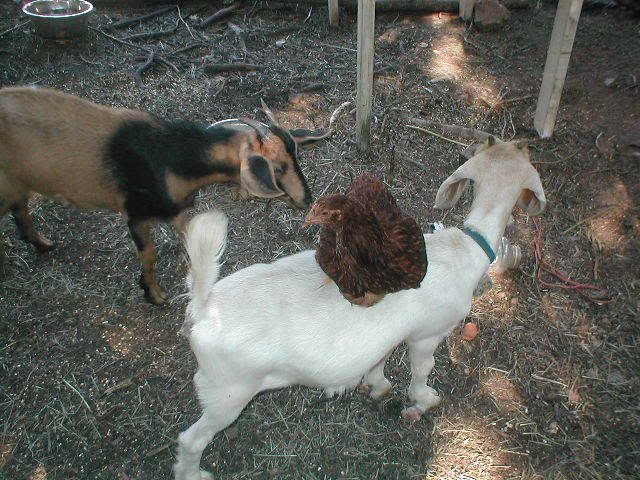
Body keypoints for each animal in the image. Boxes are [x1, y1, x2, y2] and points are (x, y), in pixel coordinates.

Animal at [0, 86, 335, 304]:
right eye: (277, 167)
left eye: (297, 156)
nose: (306, 200)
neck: (166, 155)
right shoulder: (135, 213)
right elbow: (149, 252)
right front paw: (153, 294)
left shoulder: (177, 210)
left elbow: (191, 238)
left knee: (21, 208)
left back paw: (42, 244)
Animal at [174, 137, 546, 480]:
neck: (467, 246)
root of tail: (204, 307)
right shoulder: (427, 334)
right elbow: (421, 370)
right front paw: (424, 400)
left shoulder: (387, 335)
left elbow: (379, 361)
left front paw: (376, 386)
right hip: (228, 391)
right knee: (191, 439)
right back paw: (193, 473)